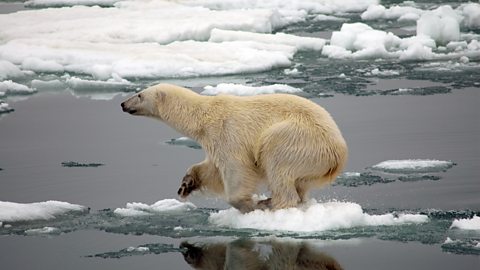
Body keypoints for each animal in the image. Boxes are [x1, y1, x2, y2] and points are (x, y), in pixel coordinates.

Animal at [122, 83, 346, 212]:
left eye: (139, 94)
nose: (123, 104)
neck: (204, 116)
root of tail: (339, 153)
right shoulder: (212, 140)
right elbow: (211, 169)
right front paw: (186, 184)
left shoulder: (227, 133)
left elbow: (236, 169)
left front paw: (247, 204)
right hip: (315, 164)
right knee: (300, 182)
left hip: (299, 139)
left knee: (276, 159)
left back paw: (270, 203)